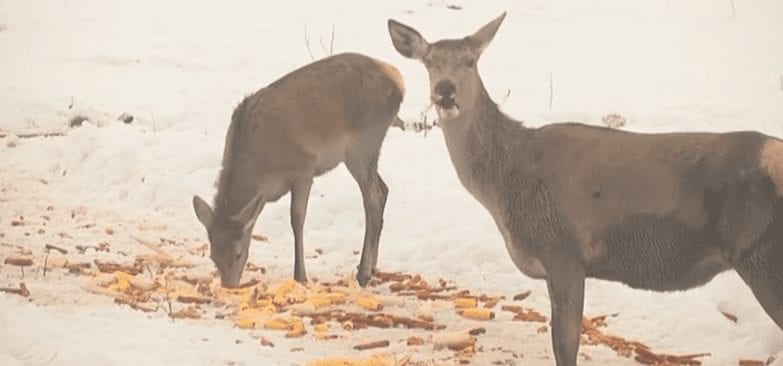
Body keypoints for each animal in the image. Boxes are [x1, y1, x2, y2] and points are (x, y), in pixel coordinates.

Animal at [194, 53, 408, 288]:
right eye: (213, 256)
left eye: (238, 253)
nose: (229, 286)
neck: (263, 172)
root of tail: (398, 80)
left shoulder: (304, 167)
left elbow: (297, 218)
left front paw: (300, 276)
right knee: (383, 189)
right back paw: (373, 267)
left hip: (362, 144)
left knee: (373, 197)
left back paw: (363, 273)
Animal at [388, 12, 783, 366]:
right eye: (429, 62)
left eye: (470, 61)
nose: (445, 91)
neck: (505, 184)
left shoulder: (563, 251)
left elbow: (565, 346)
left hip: (761, 254)